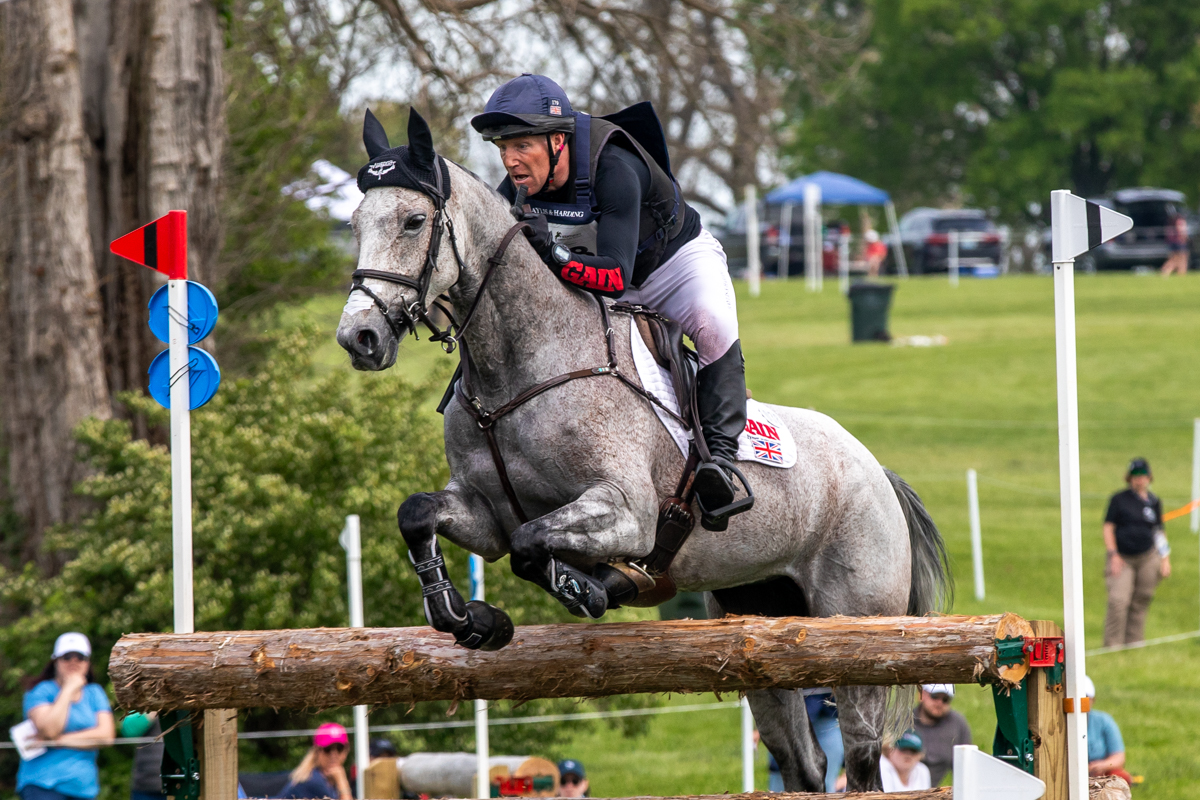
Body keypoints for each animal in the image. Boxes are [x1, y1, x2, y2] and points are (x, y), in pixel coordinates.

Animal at [336, 109, 945, 791]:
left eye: (414, 221)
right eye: (355, 224)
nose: (359, 338)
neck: (516, 370)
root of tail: (876, 471)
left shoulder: (627, 511)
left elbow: (531, 546)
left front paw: (592, 589)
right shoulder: (482, 513)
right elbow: (422, 515)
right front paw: (468, 619)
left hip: (858, 630)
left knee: (862, 759)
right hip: (761, 620)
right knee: (804, 761)